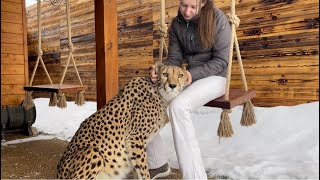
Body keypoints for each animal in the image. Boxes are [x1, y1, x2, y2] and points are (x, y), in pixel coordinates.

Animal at [56, 64, 189, 179]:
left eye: (180, 75)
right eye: (165, 74)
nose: (172, 85)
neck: (161, 94)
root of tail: (58, 173)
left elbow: (138, 170)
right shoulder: (134, 138)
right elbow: (143, 171)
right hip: (93, 152)